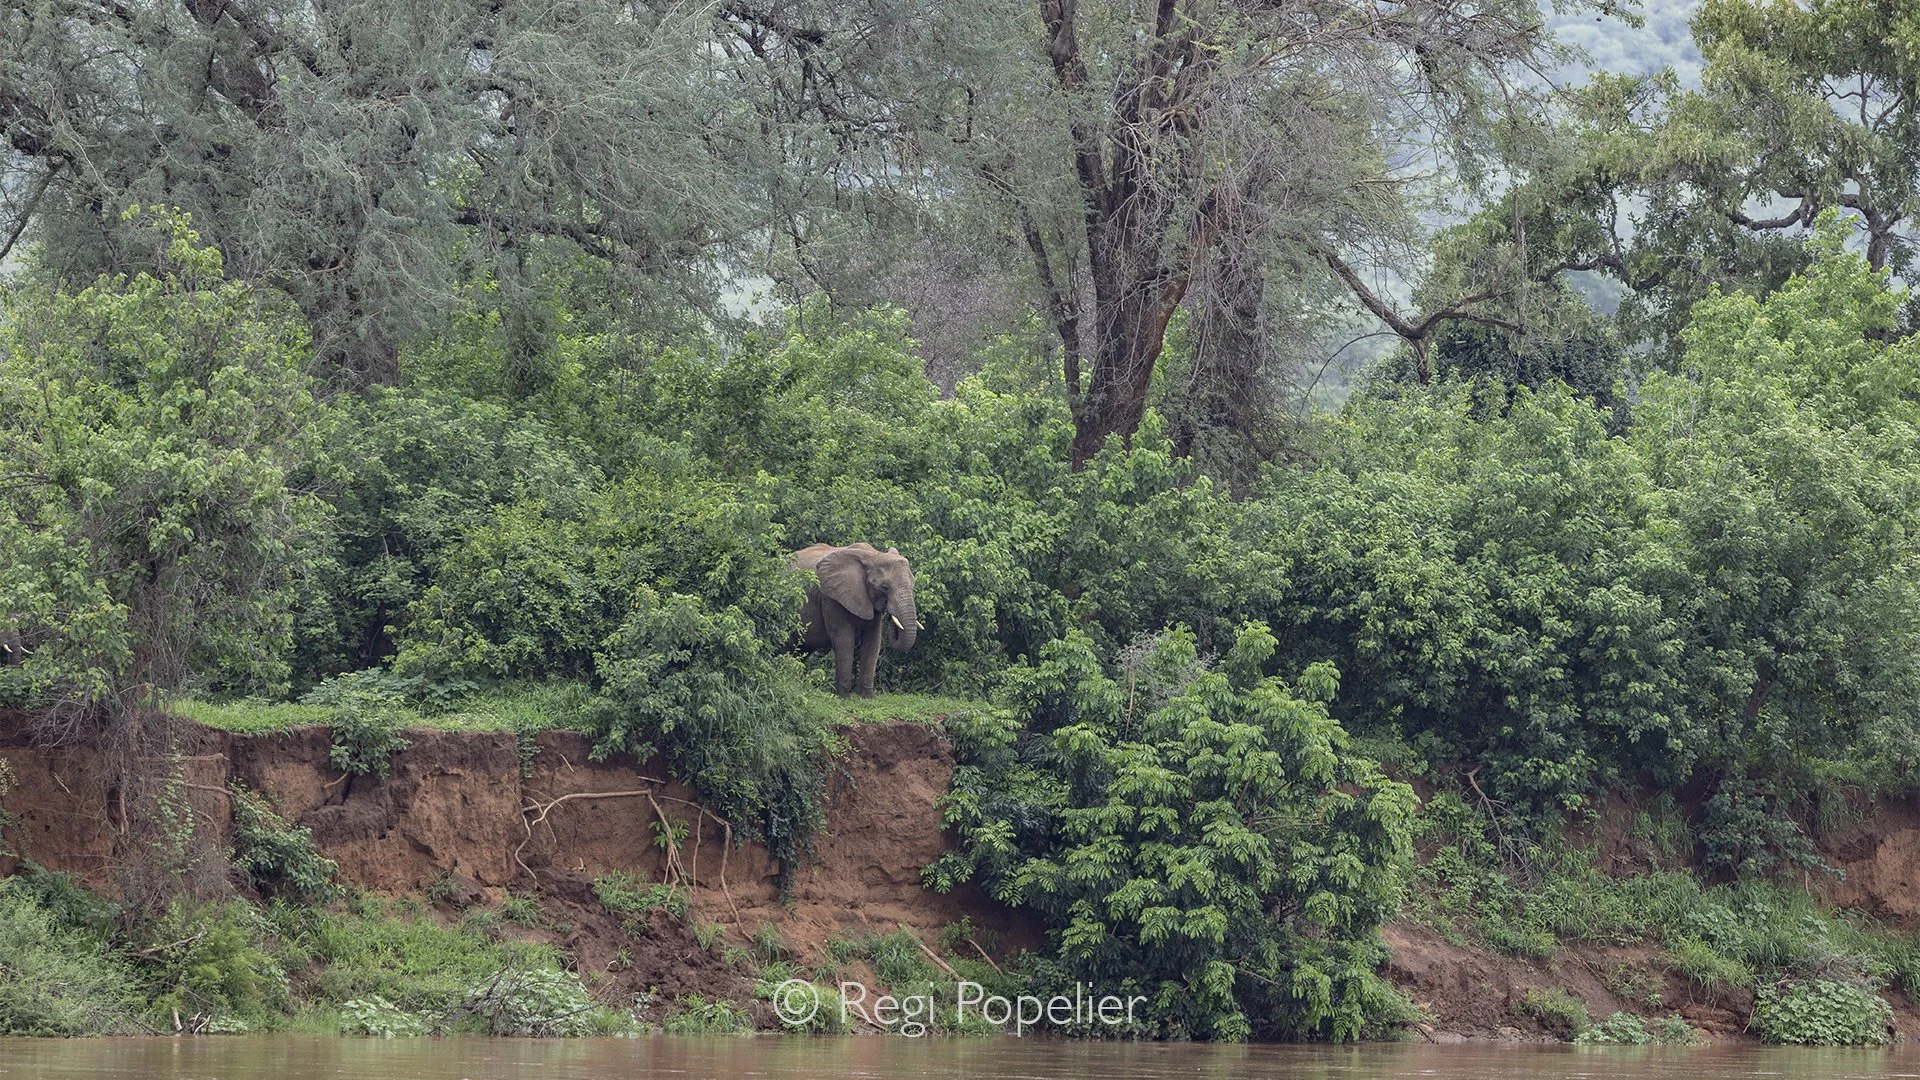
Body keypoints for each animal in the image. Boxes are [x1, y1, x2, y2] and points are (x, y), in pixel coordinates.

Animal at [793, 543, 920, 698]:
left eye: (913, 584)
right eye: (885, 587)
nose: (891, 615)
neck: (874, 555)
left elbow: (873, 641)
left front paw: (866, 698)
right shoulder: (831, 598)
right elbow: (845, 640)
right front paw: (843, 697)